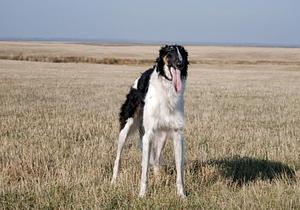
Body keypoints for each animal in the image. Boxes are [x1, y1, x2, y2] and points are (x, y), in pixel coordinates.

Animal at [111, 44, 189, 197]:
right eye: (170, 52)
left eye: (182, 53)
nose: (180, 64)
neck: (167, 90)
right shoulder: (148, 134)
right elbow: (144, 170)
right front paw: (142, 195)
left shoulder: (177, 133)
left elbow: (179, 170)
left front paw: (181, 195)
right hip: (126, 128)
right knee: (118, 158)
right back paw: (113, 181)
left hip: (163, 135)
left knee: (156, 160)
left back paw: (158, 180)